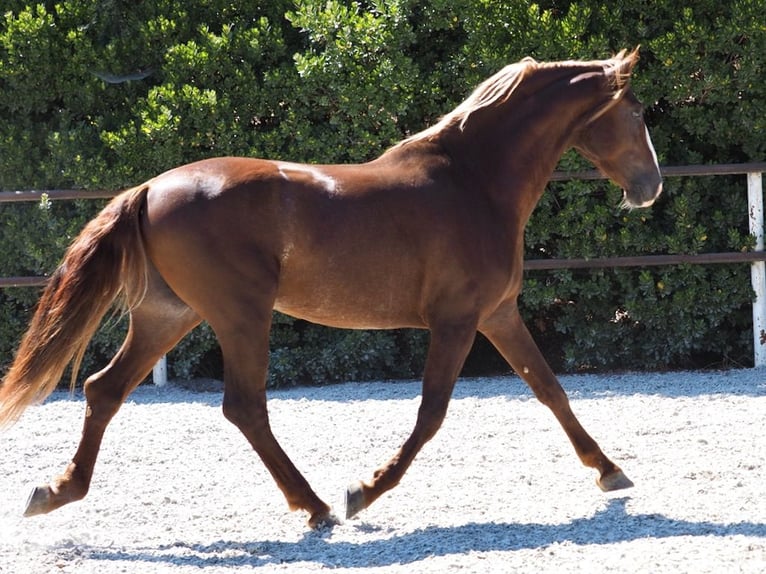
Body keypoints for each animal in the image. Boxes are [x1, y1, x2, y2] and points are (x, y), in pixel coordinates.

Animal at [0, 49, 660, 532]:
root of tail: (150, 188)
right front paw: (363, 490)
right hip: (240, 316)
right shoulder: (457, 320)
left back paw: (54, 491)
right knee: (243, 407)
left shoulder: (498, 314)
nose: (650, 186)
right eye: (636, 113)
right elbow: (431, 412)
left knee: (104, 390)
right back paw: (316, 506)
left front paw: (610, 472)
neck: (474, 181)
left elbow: (550, 390)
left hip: (170, 315)